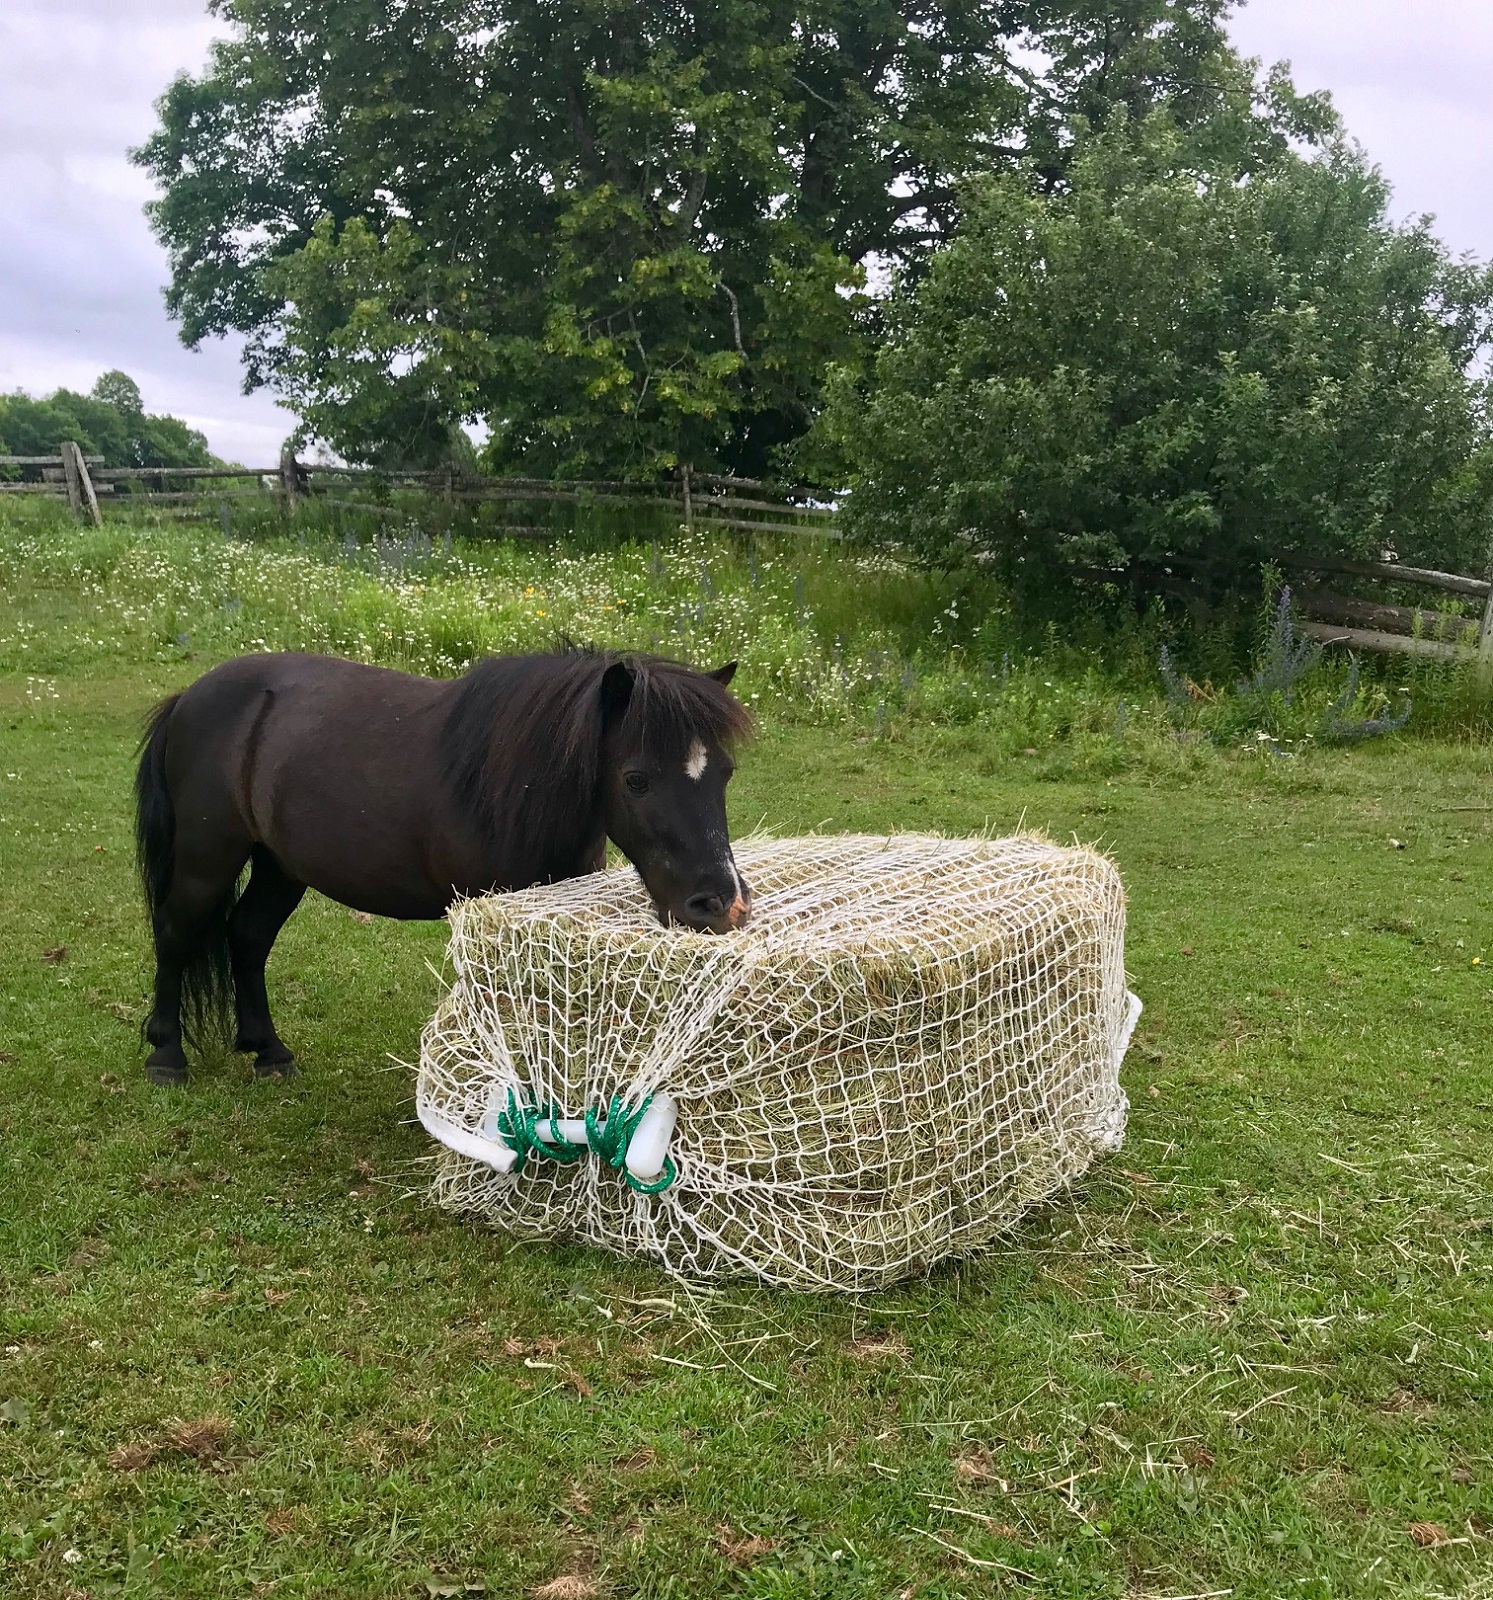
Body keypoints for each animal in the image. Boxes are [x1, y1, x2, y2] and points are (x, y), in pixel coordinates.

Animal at [133, 649, 752, 1088]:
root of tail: (189, 697)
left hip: (280, 868)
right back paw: (166, 1054)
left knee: (247, 937)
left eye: (725, 772)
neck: (510, 785)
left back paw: (267, 1051)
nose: (722, 904)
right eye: (636, 779)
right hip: (206, 860)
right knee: (175, 932)